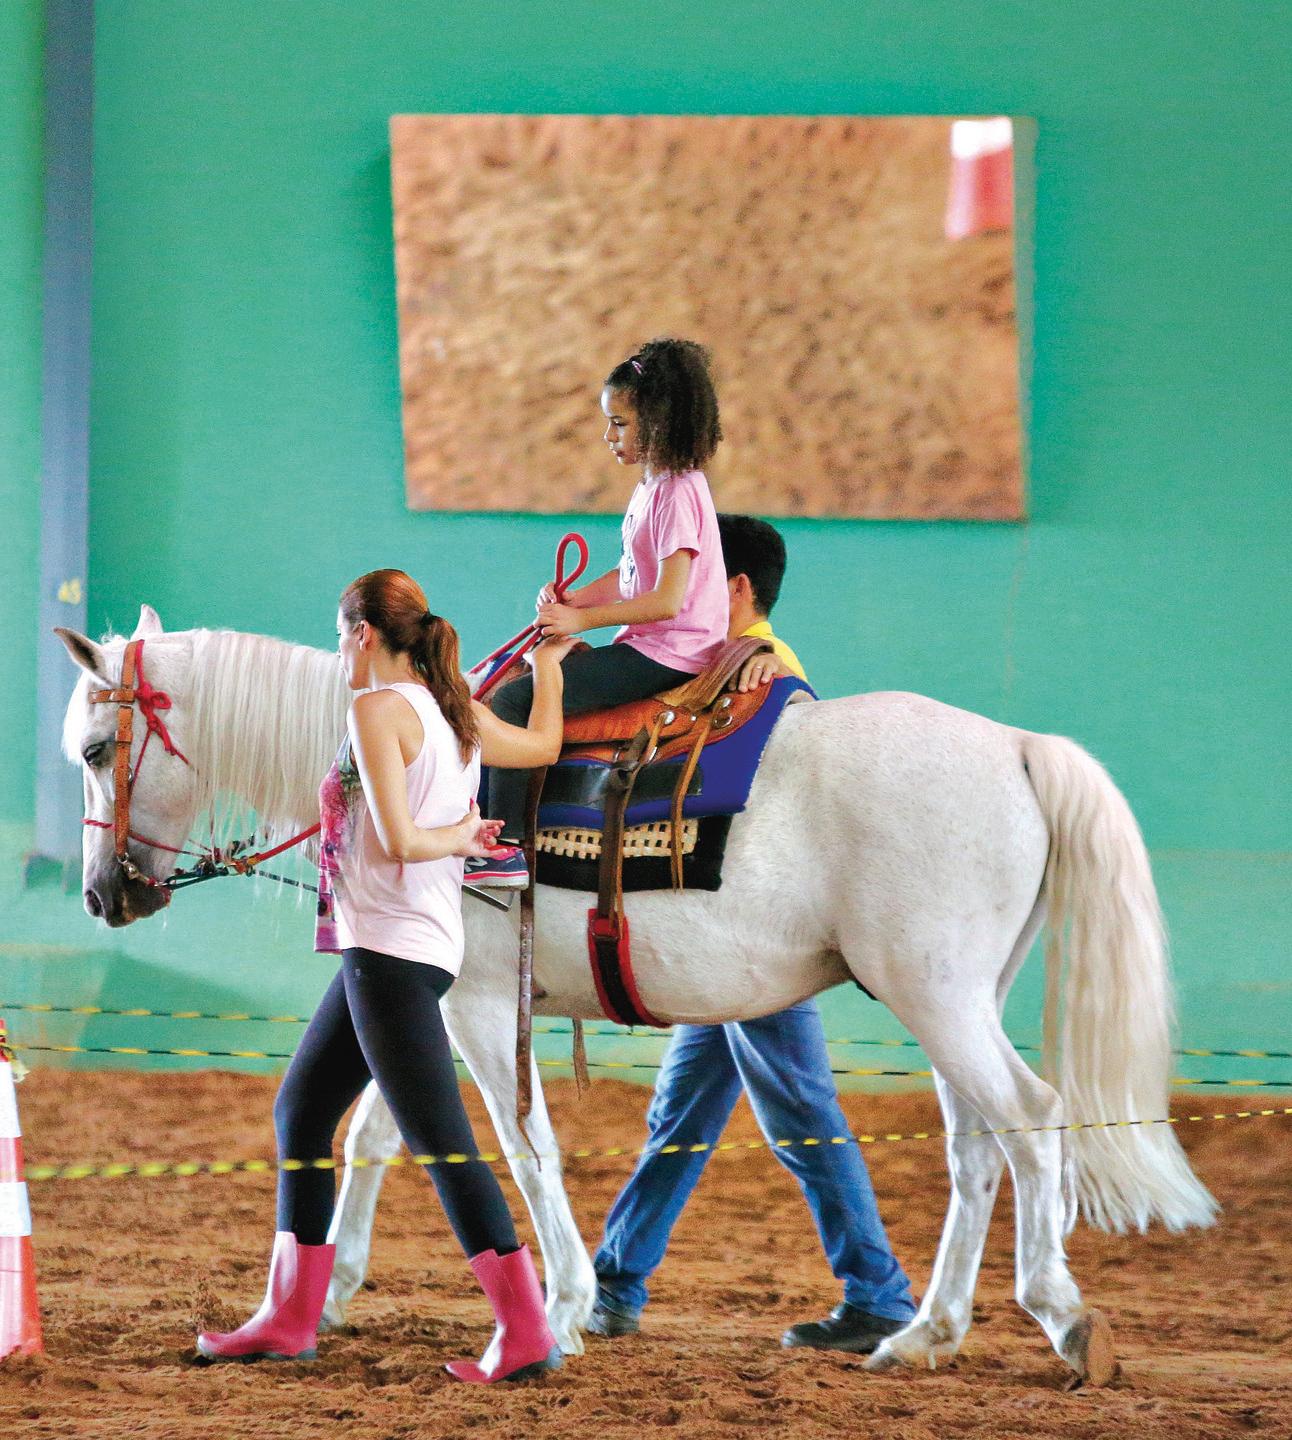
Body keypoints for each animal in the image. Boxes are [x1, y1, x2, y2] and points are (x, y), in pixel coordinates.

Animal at [57, 610, 1209, 1382]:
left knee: (1031, 1121)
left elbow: (519, 1143)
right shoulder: (423, 1000)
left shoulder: (479, 1006)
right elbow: (384, 1133)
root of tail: (1015, 747)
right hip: (954, 1003)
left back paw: (1057, 1314)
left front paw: (561, 1308)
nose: (104, 895)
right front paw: (332, 1292)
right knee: (976, 1151)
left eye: (99, 749)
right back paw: (923, 1333)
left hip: (937, 999)